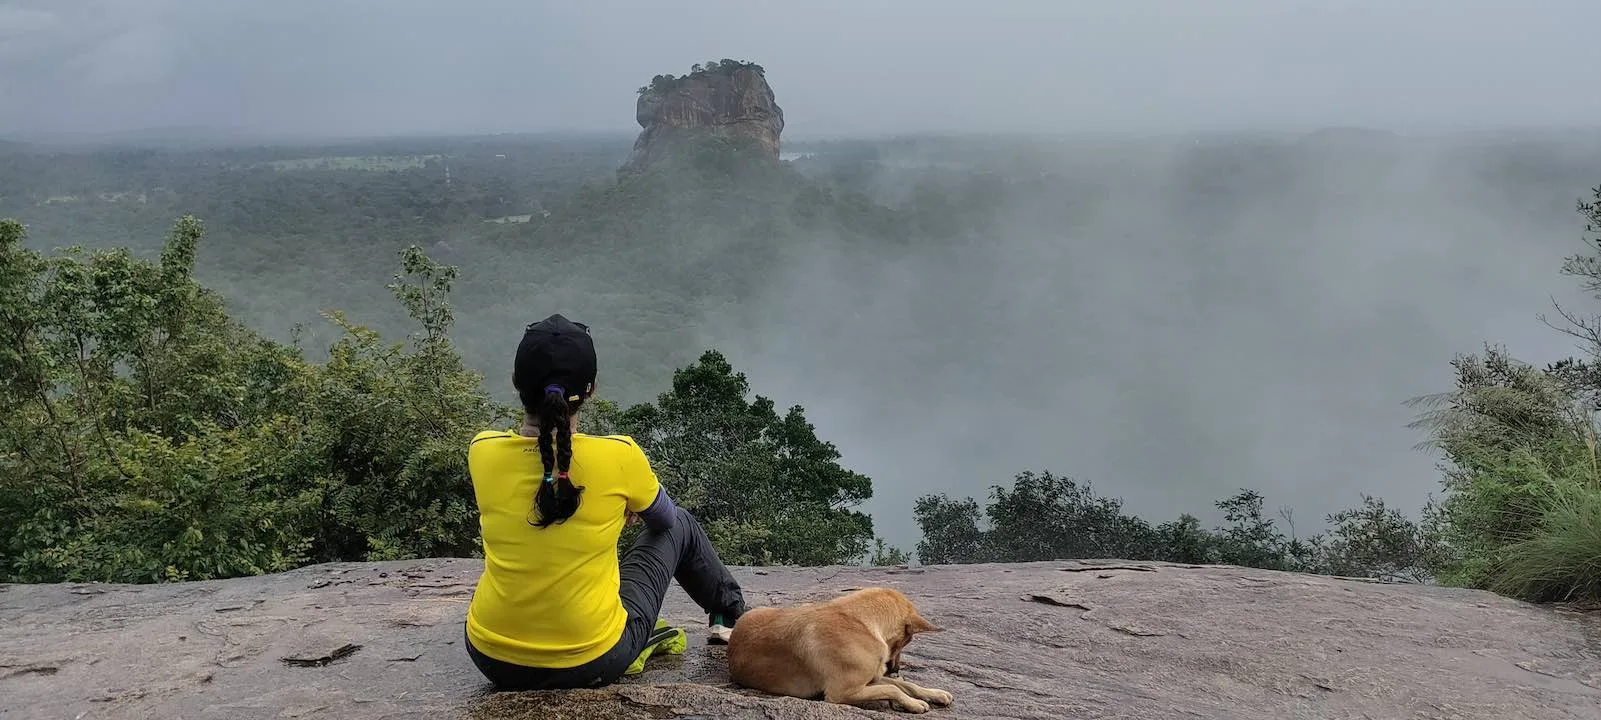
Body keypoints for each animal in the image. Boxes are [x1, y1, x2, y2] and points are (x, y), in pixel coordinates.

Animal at [714, 588, 947, 710]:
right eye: (907, 640)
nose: (895, 670)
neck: (865, 624)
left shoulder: (872, 679)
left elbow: (906, 685)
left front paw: (935, 694)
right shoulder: (841, 692)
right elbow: (893, 688)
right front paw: (914, 704)